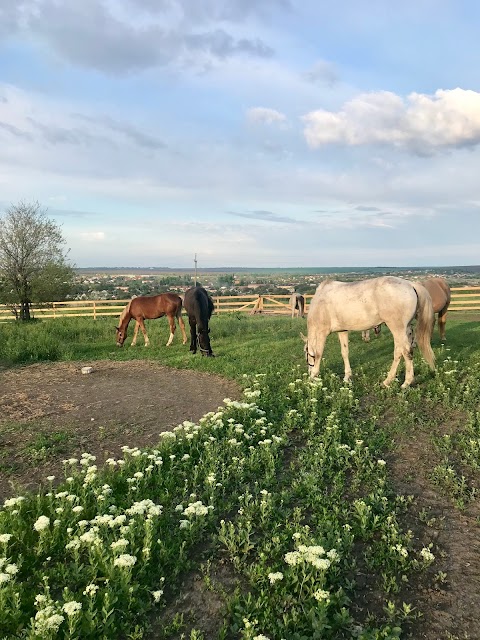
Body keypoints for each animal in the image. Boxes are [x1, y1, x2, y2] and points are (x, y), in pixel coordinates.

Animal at [304, 276, 436, 390]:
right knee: (399, 352)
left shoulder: (322, 332)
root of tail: (410, 284)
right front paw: (347, 377)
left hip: (397, 328)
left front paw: (313, 376)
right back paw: (387, 381)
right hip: (404, 329)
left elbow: (318, 353)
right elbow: (345, 352)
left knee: (407, 351)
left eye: (306, 357)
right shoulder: (342, 331)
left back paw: (406, 383)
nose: (309, 372)